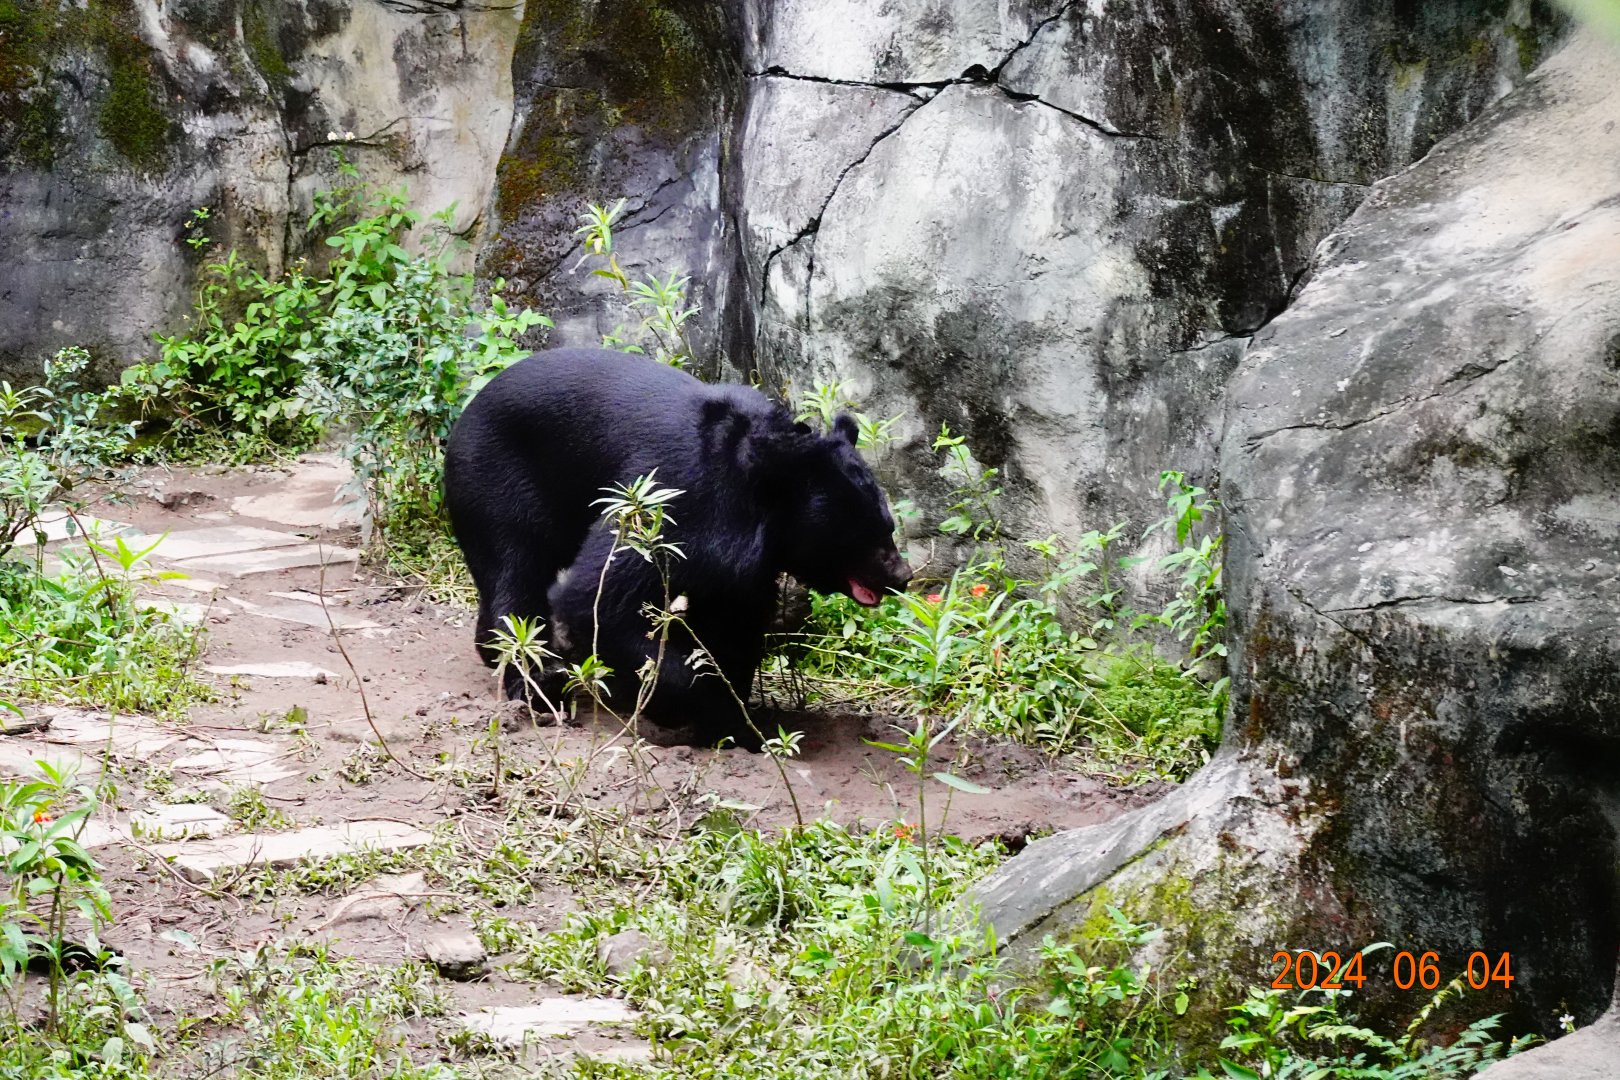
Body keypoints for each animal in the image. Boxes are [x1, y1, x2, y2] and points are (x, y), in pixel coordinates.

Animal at [442, 347, 913, 743]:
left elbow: (734, 622)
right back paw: (539, 681)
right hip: (497, 484)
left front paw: (735, 726)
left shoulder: (738, 566)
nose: (902, 576)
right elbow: (598, 596)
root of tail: (471, 406)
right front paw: (696, 707)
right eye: (862, 537)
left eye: (887, 526)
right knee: (515, 570)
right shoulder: (673, 498)